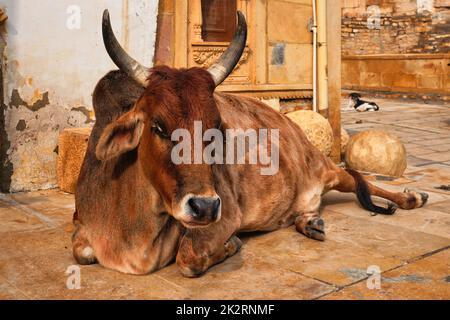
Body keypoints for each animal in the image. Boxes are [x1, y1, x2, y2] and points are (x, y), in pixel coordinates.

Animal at [72, 10, 428, 278]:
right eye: (158, 126)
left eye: (216, 129)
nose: (205, 206)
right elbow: (81, 252)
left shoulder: (226, 216)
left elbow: (188, 259)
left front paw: (232, 245)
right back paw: (310, 222)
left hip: (325, 168)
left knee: (359, 179)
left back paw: (412, 197)